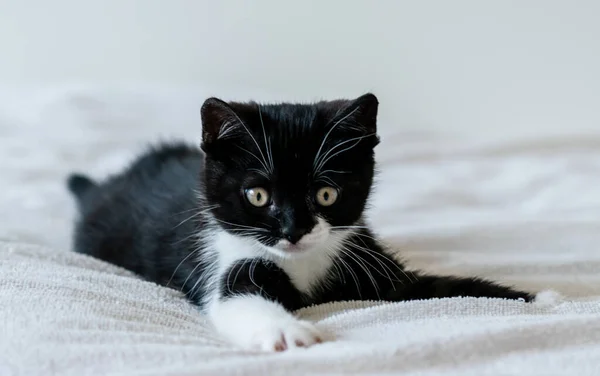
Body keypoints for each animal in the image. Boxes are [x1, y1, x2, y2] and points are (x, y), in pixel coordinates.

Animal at [67, 94, 536, 352]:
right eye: (257, 196)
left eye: (326, 194)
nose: (294, 230)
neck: (304, 264)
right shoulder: (222, 256)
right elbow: (239, 297)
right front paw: (285, 332)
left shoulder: (362, 256)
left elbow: (433, 287)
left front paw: (530, 298)